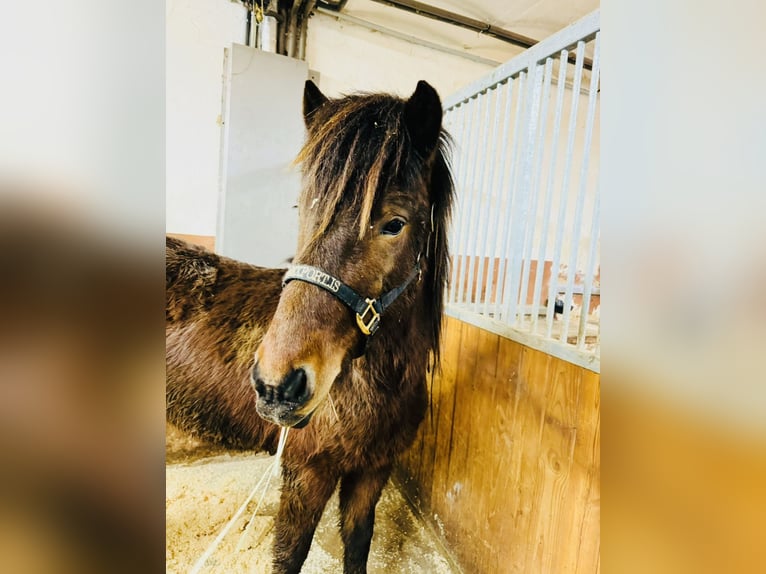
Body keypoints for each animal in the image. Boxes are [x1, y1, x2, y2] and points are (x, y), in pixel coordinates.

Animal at [166, 81, 456, 574]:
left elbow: (358, 543)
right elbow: (290, 555)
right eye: (302, 209)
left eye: (394, 224)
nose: (275, 384)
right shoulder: (307, 472)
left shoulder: (373, 470)